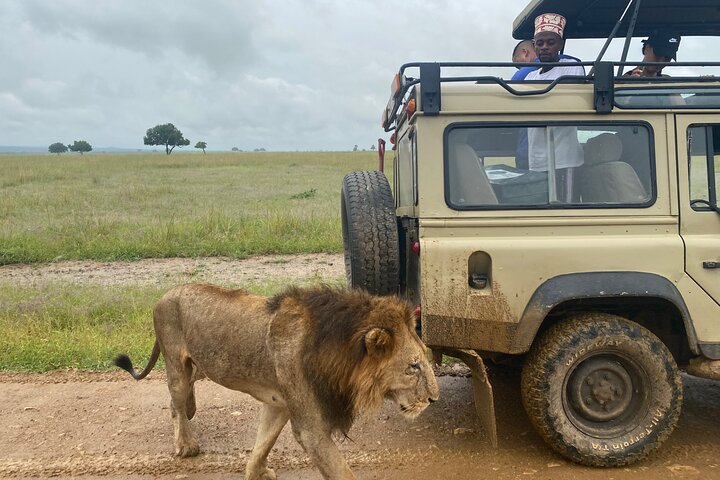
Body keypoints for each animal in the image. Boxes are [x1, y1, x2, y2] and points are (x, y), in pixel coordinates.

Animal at [114, 284, 438, 480]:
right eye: (413, 367)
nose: (434, 399)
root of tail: (166, 293)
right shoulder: (311, 429)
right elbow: (341, 471)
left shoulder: (279, 403)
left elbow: (263, 442)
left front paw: (256, 472)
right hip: (175, 363)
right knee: (175, 402)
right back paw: (185, 443)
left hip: (201, 364)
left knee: (186, 391)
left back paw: (192, 411)